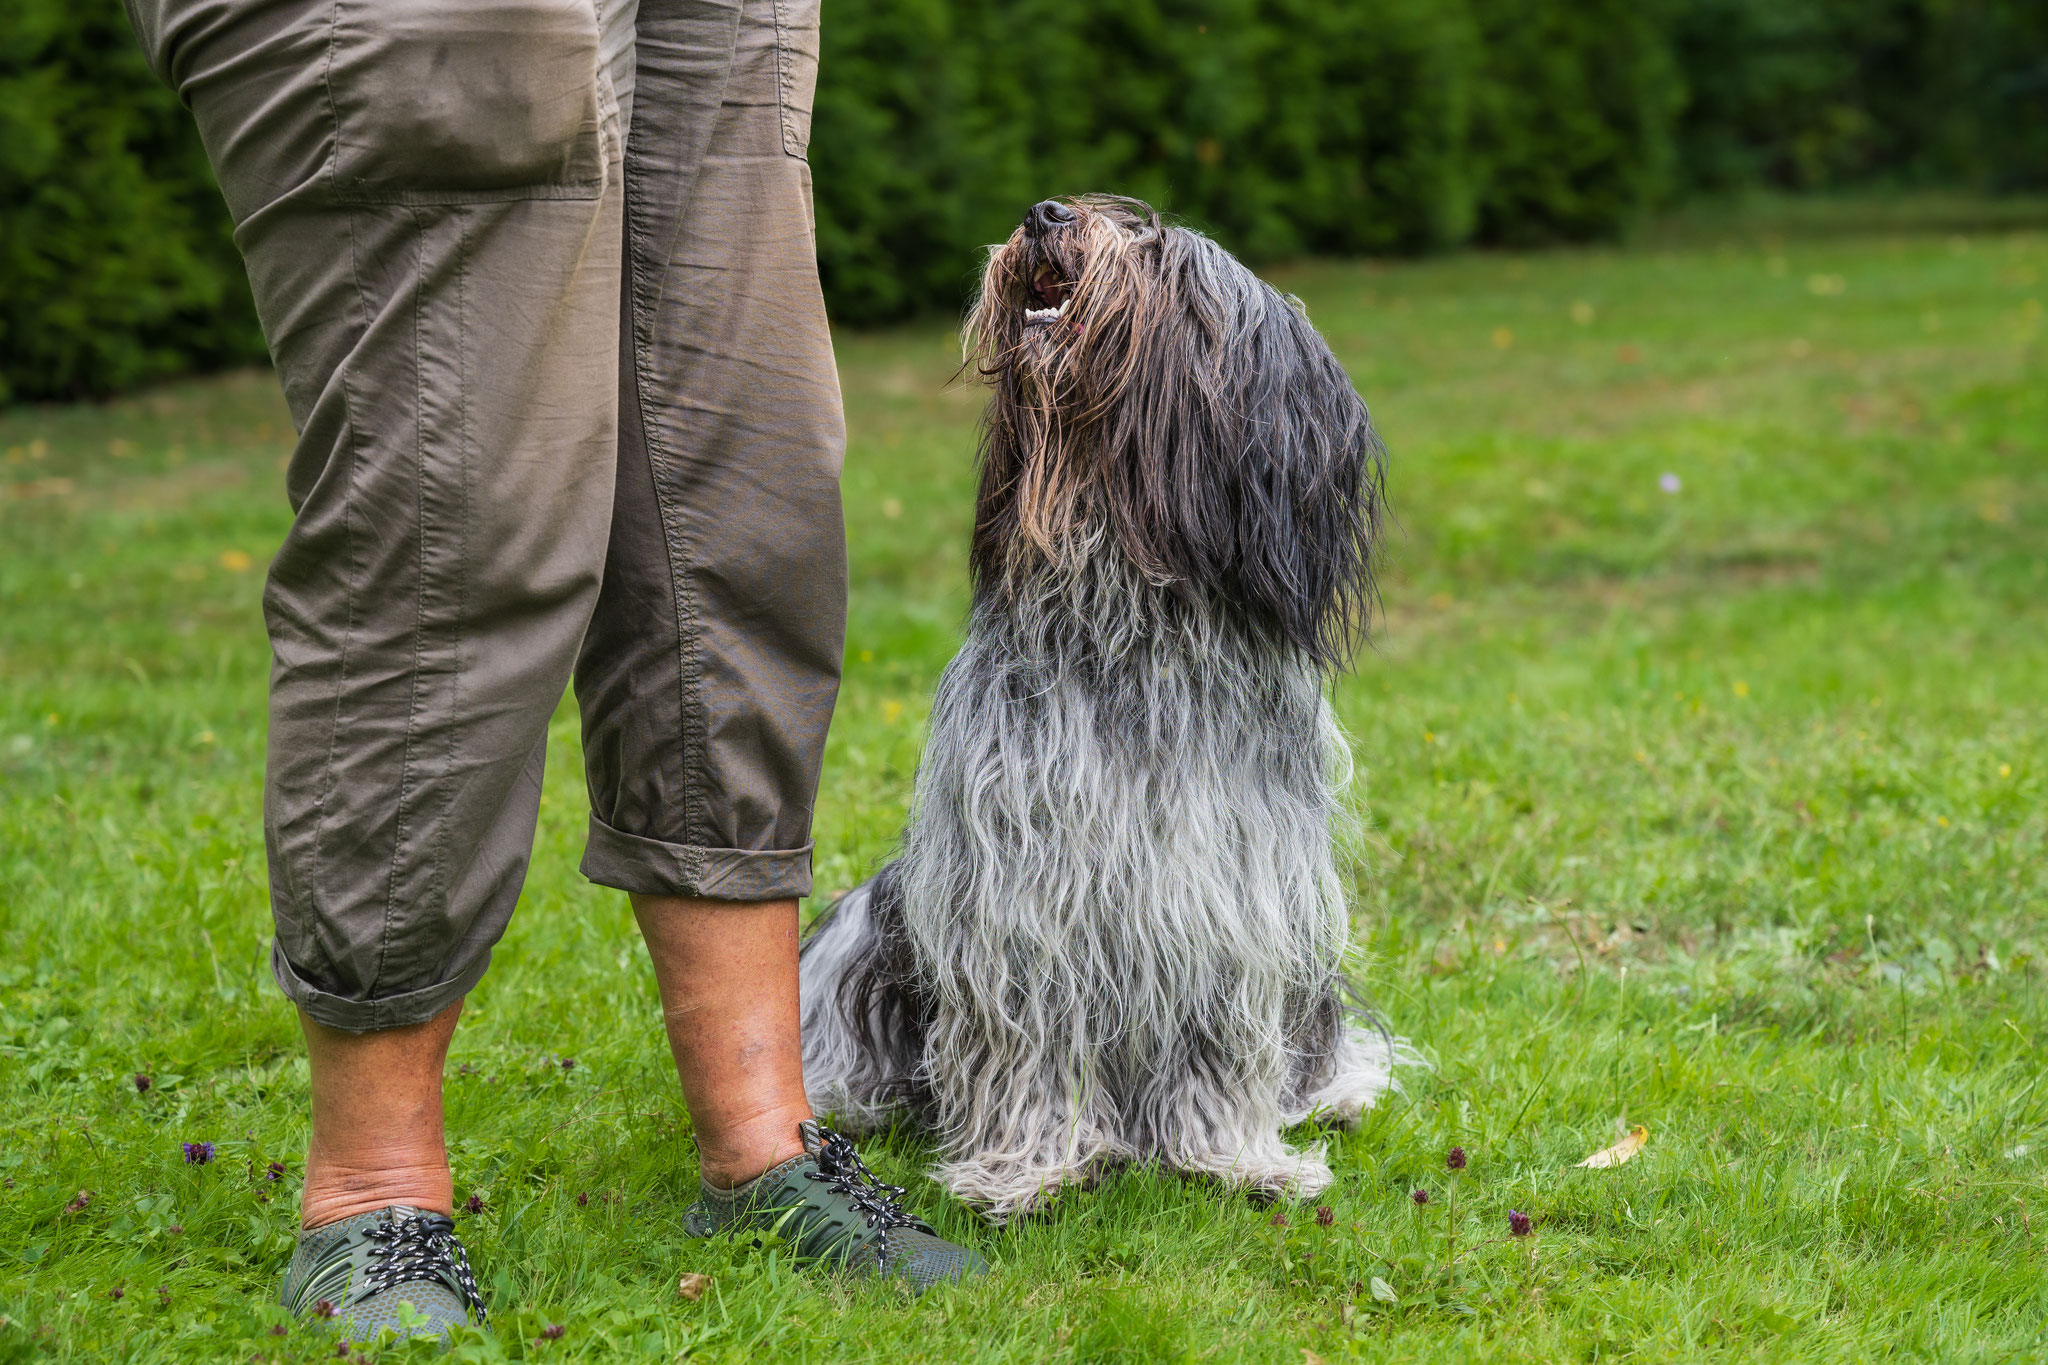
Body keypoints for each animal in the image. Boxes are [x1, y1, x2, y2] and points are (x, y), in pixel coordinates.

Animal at [798, 194, 1409, 1227]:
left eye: (1156, 250)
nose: (1045, 212)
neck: (1126, 616)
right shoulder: (1017, 894)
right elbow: (1026, 1046)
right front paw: (1029, 1170)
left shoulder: (1229, 893)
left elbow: (1220, 1048)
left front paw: (1236, 1160)